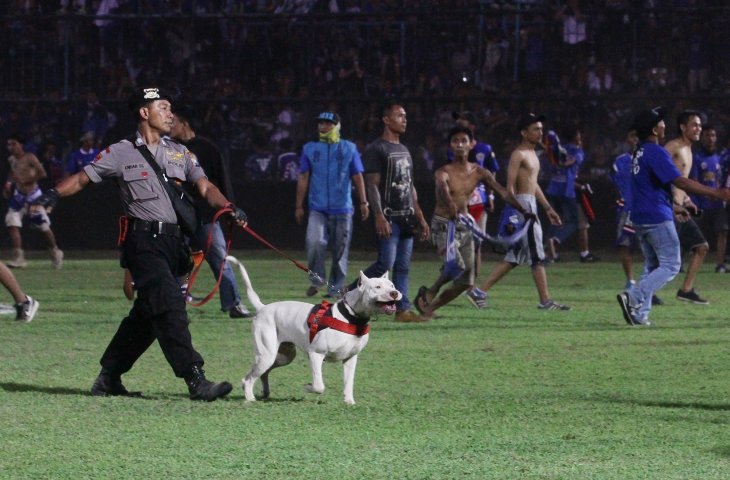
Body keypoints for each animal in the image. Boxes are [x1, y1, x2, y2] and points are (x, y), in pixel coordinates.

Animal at [226, 255, 400, 404]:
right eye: (377, 287)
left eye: (392, 285)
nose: (395, 293)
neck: (351, 315)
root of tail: (263, 308)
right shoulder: (316, 354)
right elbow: (319, 386)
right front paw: (307, 387)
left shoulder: (350, 358)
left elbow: (348, 382)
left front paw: (349, 402)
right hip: (266, 354)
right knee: (249, 378)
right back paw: (249, 397)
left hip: (283, 356)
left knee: (263, 373)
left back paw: (264, 393)